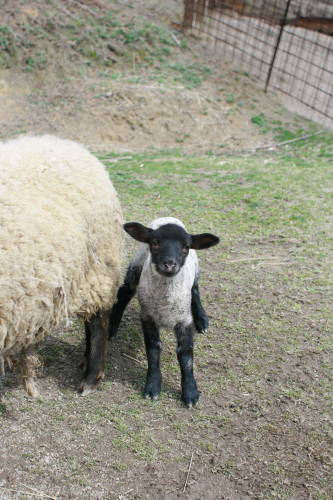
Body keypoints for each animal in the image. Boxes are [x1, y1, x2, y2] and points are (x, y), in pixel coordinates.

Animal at [108, 217, 218, 408]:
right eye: (155, 243)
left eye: (186, 247)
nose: (169, 264)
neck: (165, 302)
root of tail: (169, 218)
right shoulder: (148, 317)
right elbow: (153, 349)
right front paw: (152, 386)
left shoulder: (184, 320)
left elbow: (186, 356)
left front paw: (190, 392)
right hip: (136, 266)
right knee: (125, 292)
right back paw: (113, 327)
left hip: (195, 271)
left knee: (195, 290)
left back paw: (202, 320)